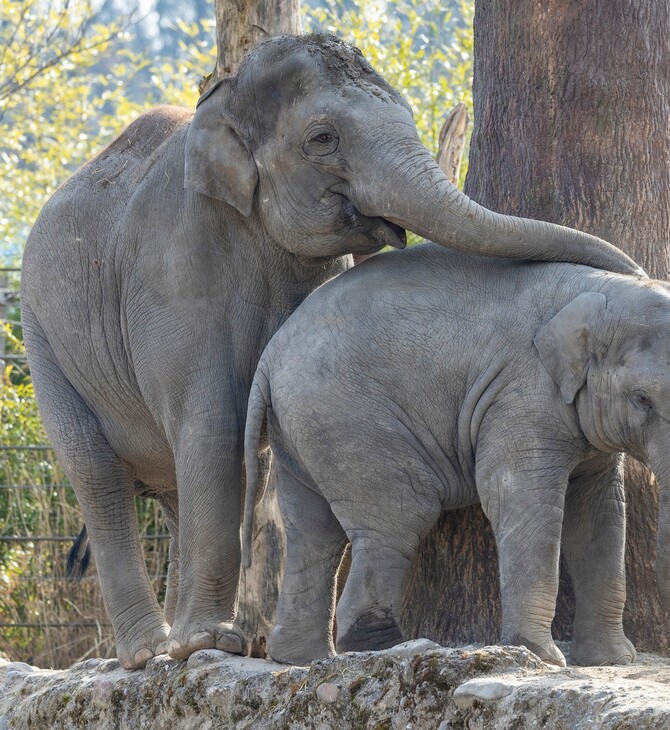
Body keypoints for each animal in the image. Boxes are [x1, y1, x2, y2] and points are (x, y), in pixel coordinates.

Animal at [242, 245, 668, 664]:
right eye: (642, 399)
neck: (601, 290)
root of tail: (267, 359)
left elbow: (601, 513)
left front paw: (611, 660)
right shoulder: (520, 395)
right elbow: (520, 499)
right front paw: (542, 657)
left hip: (301, 429)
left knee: (313, 533)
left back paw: (299, 659)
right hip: (346, 420)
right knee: (400, 519)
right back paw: (392, 650)